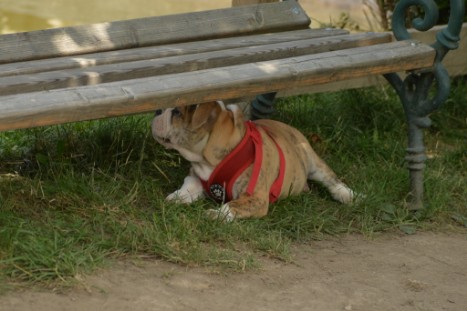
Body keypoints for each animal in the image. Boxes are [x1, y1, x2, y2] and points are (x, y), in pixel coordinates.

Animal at [152, 102, 352, 222]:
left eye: (177, 112)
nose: (157, 110)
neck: (208, 161)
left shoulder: (256, 198)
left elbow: (231, 205)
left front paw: (216, 214)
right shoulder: (196, 177)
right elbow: (188, 187)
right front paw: (176, 197)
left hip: (311, 159)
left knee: (330, 178)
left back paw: (347, 194)